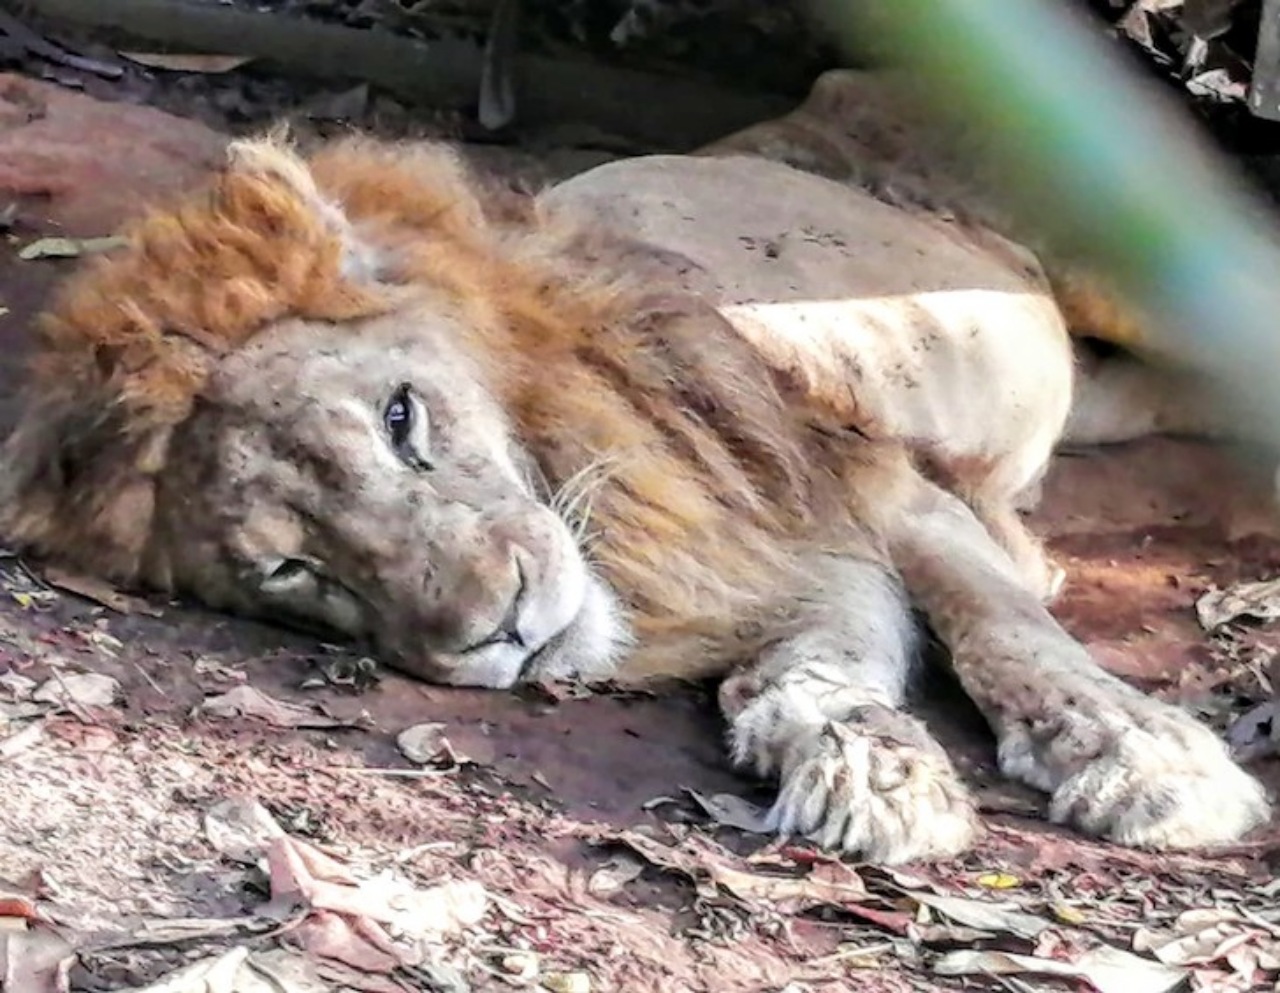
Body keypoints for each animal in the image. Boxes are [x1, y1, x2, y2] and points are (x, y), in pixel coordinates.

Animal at [0, 67, 1264, 859]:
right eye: (292, 575)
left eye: (401, 418)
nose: (499, 630)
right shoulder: (780, 546)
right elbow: (819, 658)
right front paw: (867, 768)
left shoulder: (855, 477)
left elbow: (1003, 627)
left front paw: (1144, 761)